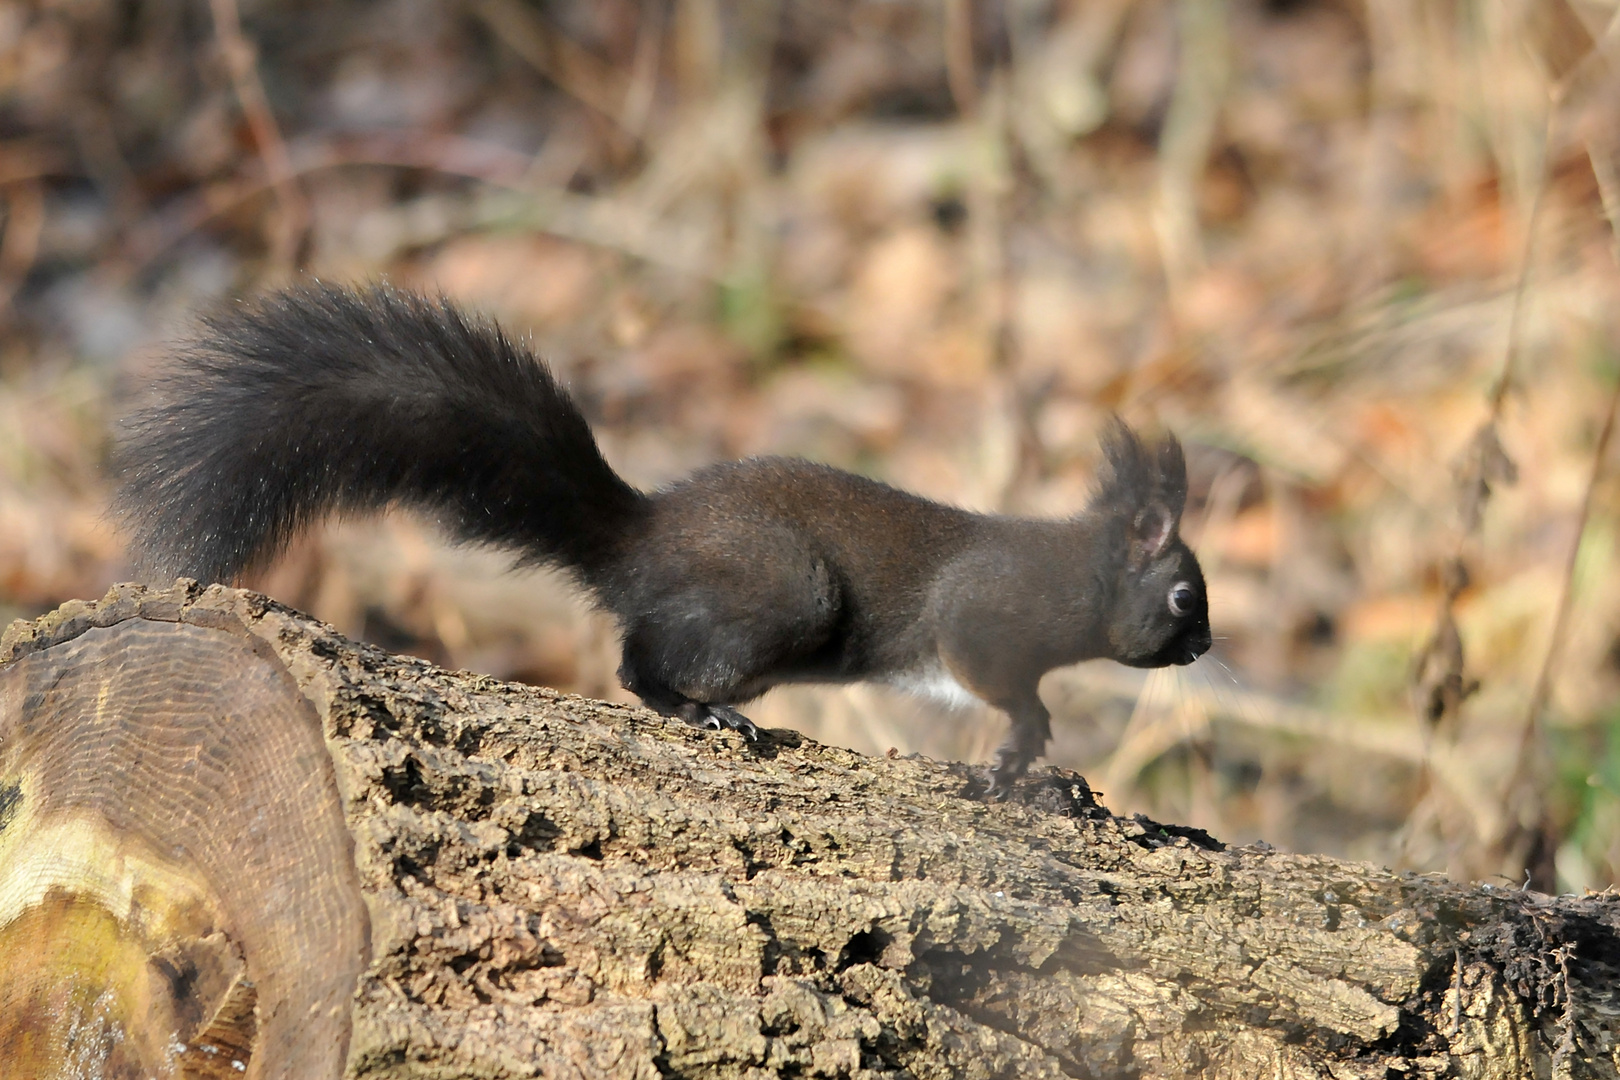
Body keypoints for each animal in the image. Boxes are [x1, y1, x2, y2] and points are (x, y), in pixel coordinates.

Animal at [114, 286, 1211, 793]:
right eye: (1184, 596)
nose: (1206, 648)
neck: (1076, 575)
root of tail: (638, 538)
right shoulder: (983, 611)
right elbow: (997, 677)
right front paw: (1027, 740)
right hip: (783, 595)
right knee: (639, 659)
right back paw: (698, 711)